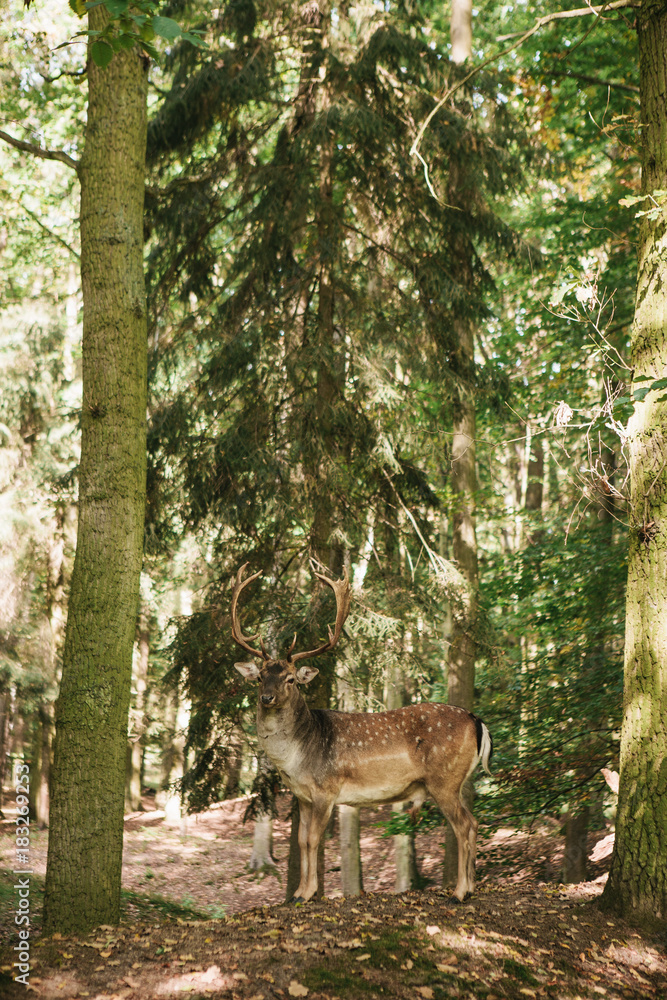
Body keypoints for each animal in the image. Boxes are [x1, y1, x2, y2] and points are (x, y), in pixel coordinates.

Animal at [231, 563, 493, 903]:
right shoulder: (302, 796)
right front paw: (297, 893)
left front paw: (308, 893)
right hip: (457, 781)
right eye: (261, 676)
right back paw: (470, 887)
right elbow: (301, 841)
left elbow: (314, 840)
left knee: (464, 825)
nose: (267, 697)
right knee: (473, 821)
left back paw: (460, 892)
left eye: (290, 679)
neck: (296, 759)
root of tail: (477, 720)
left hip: (444, 779)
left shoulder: (326, 789)